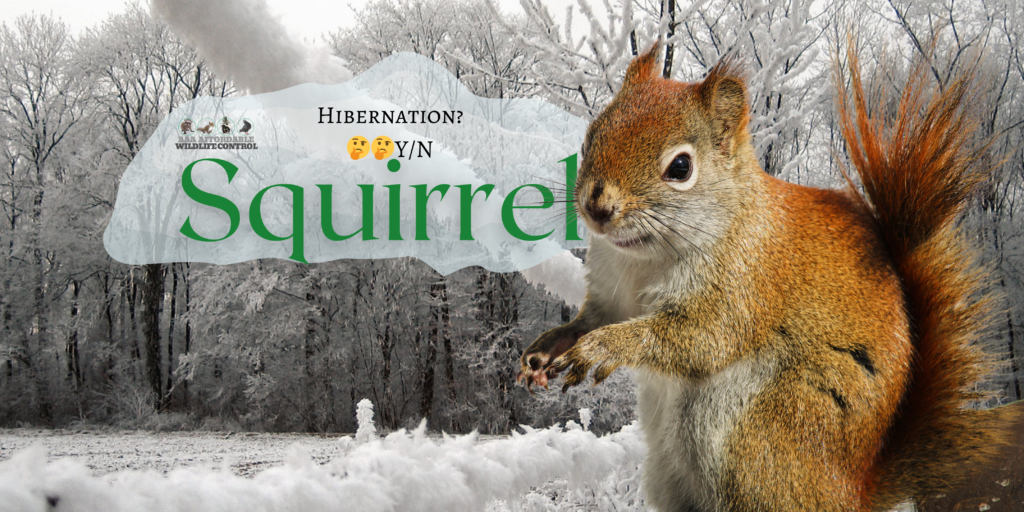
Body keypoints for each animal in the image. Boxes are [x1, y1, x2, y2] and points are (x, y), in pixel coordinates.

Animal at [517, 42, 1024, 511]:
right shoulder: (611, 291)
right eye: (590, 138)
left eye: (680, 167)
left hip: (764, 439)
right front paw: (549, 348)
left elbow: (698, 338)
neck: (642, 258)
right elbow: (593, 318)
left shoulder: (747, 281)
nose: (598, 207)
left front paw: (605, 347)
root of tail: (855, 488)